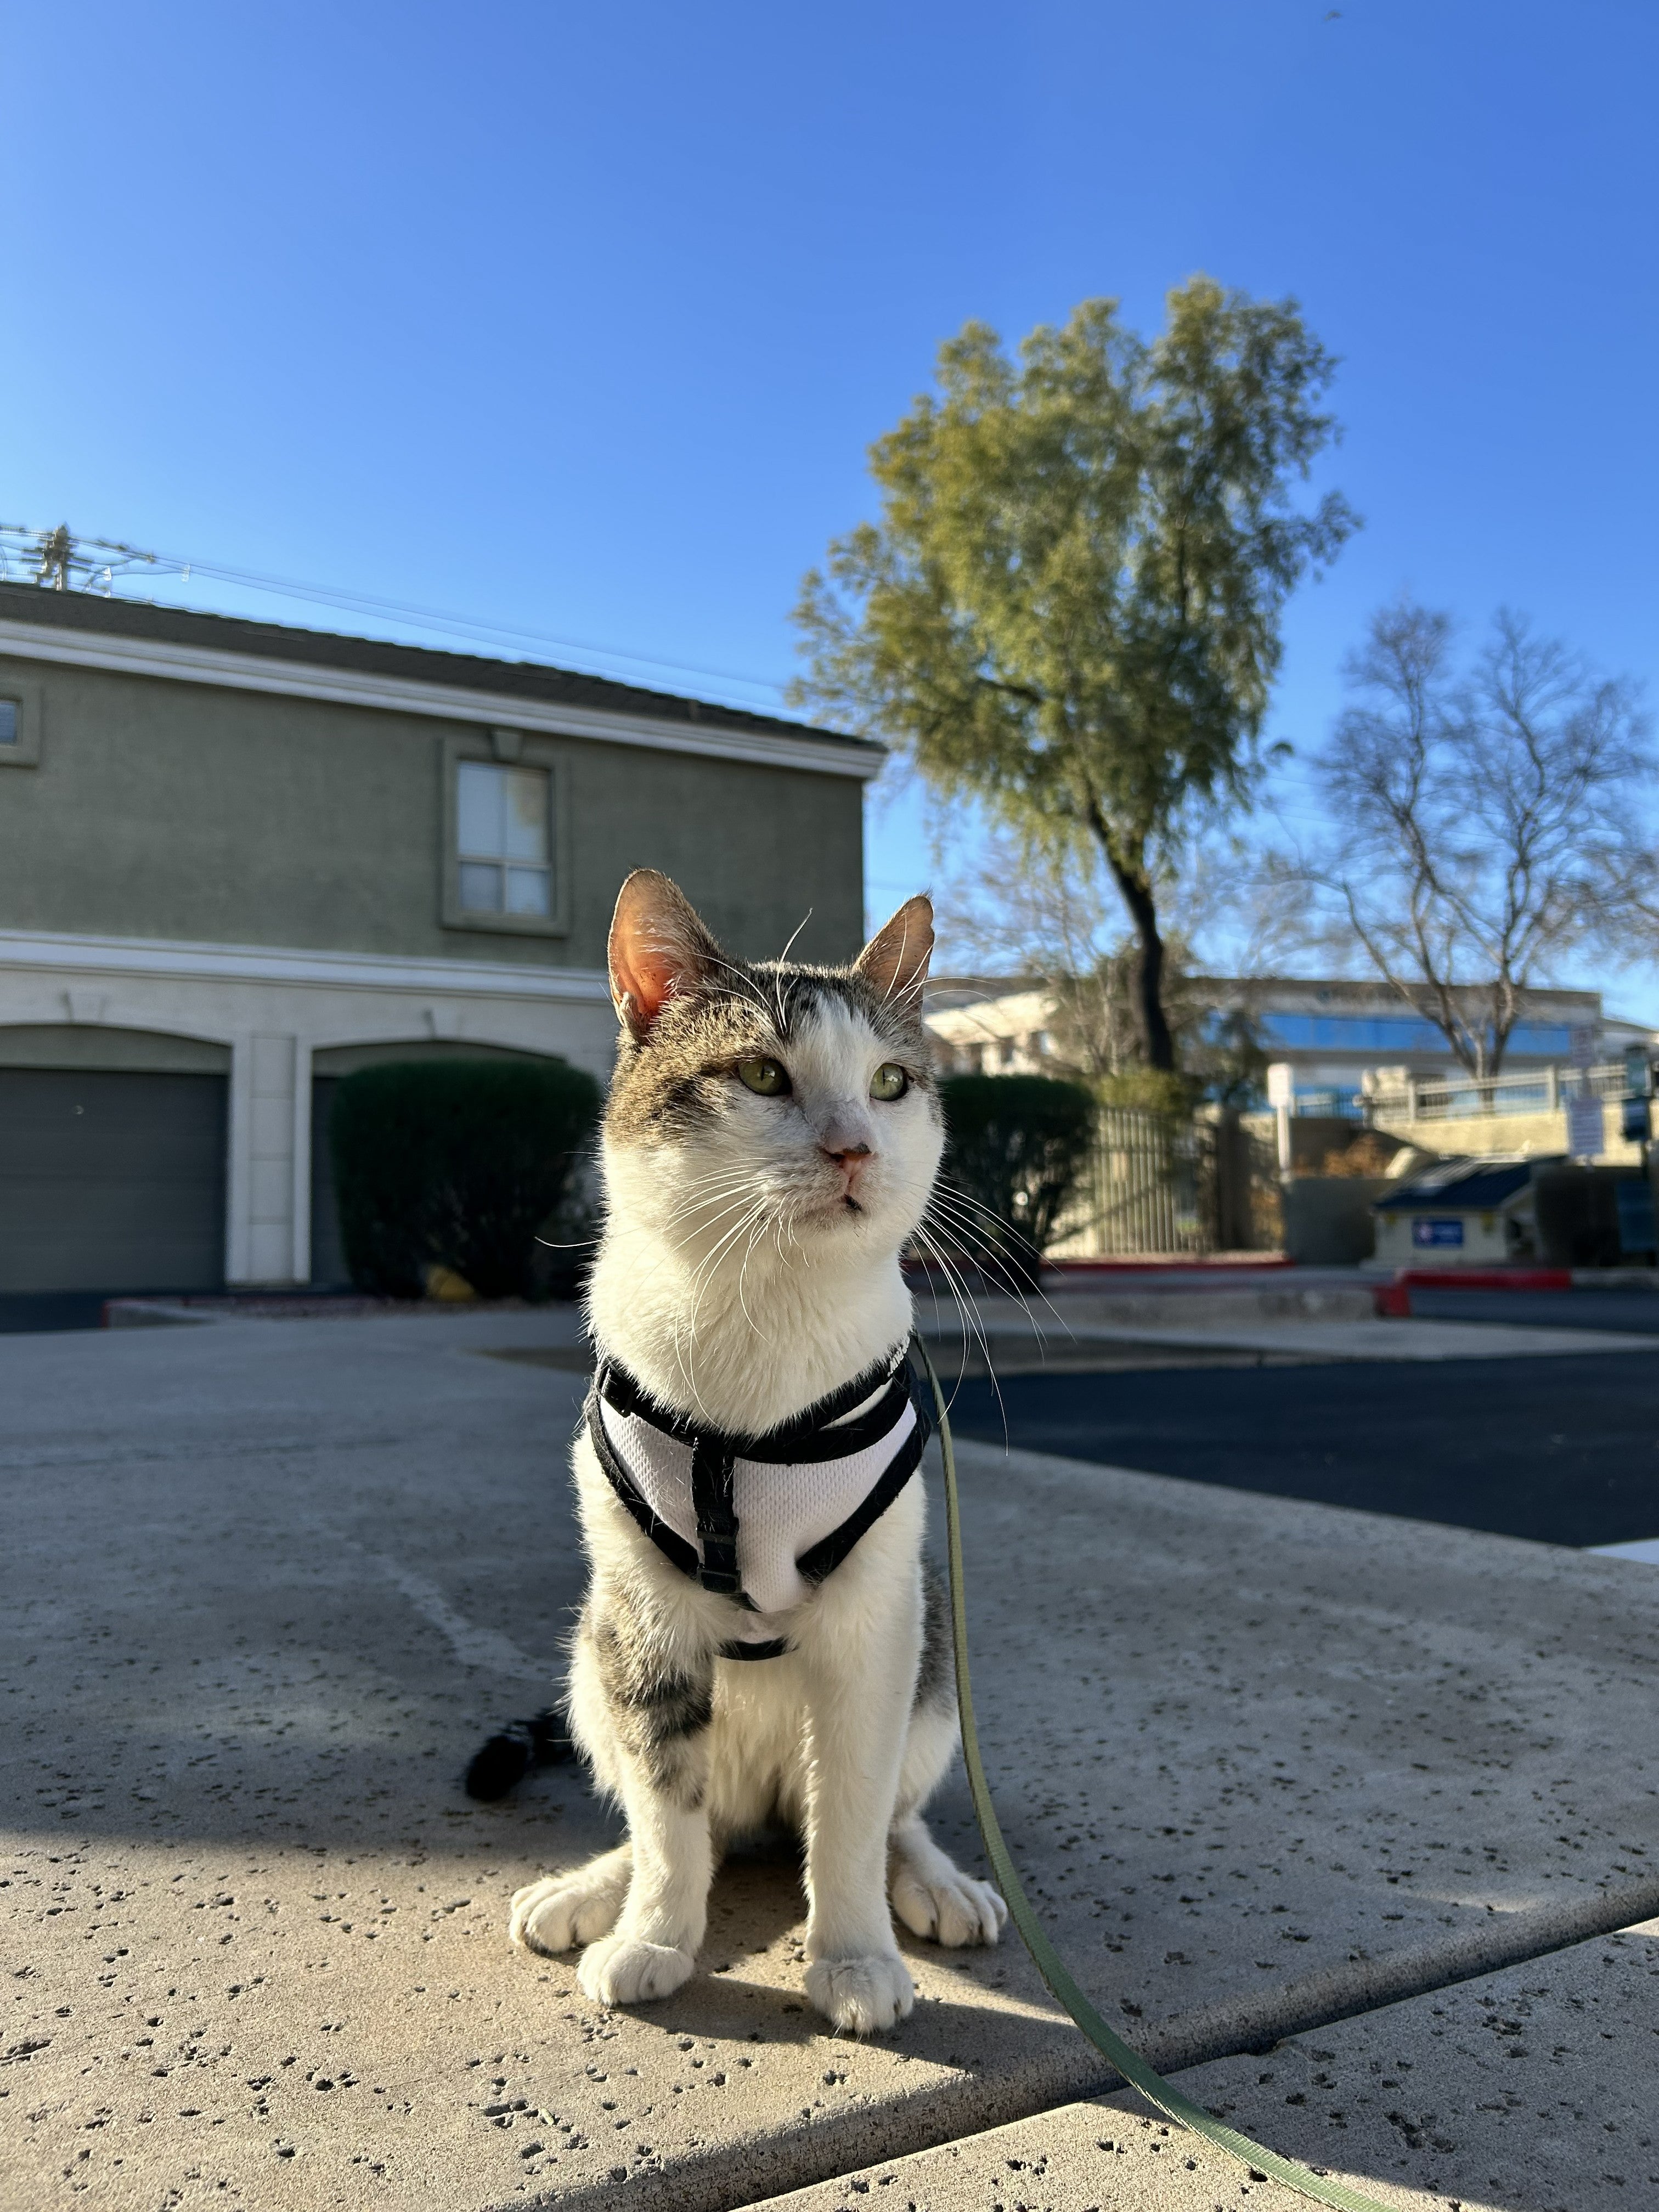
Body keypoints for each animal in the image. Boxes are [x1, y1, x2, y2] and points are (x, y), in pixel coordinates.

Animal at [507, 868, 1005, 2034]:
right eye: (761, 1073)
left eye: (889, 1081)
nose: (855, 1145)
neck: (764, 1312)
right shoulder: (643, 1616)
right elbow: (666, 1814)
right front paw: (653, 1933)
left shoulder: (875, 1623)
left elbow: (854, 1816)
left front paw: (854, 1957)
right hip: (590, 1651)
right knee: (691, 1821)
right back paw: (595, 1888)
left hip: (930, 1664)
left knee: (888, 1811)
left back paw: (933, 1880)